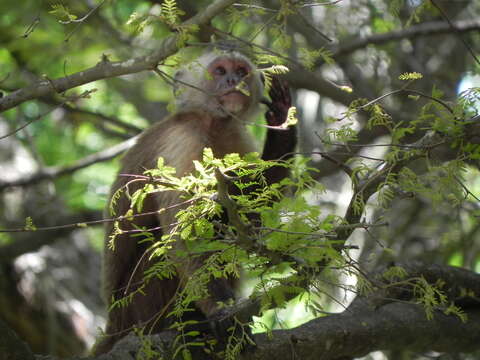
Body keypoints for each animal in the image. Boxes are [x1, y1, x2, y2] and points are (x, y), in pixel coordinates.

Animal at [93, 47, 296, 354]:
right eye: (220, 71)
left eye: (241, 71)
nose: (233, 81)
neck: (212, 123)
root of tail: (114, 324)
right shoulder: (180, 140)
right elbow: (186, 234)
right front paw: (220, 312)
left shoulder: (236, 136)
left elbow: (251, 213)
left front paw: (281, 121)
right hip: (138, 308)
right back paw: (189, 326)